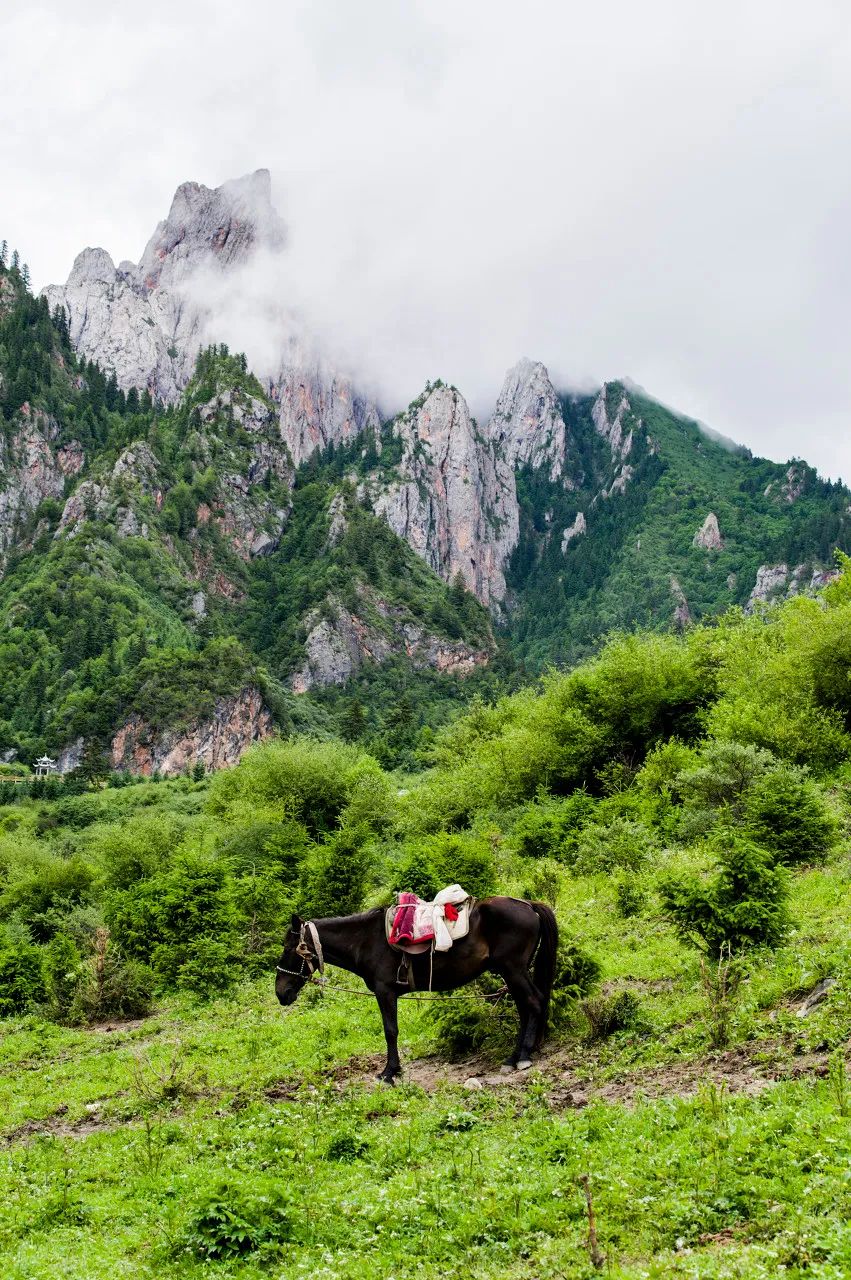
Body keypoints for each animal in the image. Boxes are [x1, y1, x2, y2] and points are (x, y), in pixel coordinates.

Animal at [272, 896, 557, 1085]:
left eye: (288, 948)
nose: (280, 992)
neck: (364, 940)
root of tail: (528, 905)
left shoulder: (385, 992)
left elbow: (390, 1031)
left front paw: (389, 1072)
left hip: (514, 970)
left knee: (533, 1003)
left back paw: (523, 1056)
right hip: (512, 973)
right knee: (526, 1008)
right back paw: (513, 1057)